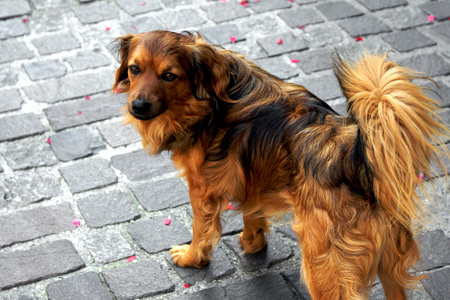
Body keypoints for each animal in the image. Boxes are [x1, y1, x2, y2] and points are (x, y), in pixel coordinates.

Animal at [111, 31, 446, 300]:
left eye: (170, 76)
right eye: (135, 69)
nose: (138, 106)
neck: (215, 93)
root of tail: (354, 159)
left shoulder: (201, 189)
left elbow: (202, 230)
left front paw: (193, 257)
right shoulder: (254, 173)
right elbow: (252, 211)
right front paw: (253, 242)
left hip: (324, 267)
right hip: (389, 265)